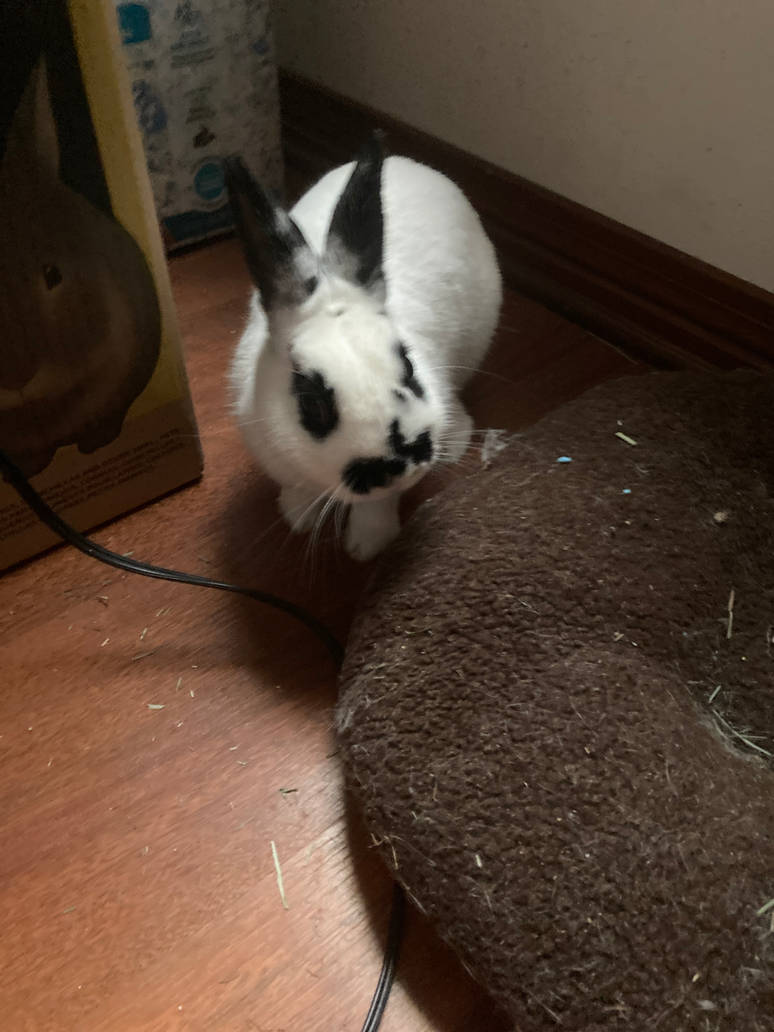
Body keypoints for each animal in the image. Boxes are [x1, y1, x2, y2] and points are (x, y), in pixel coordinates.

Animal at [225, 135, 502, 561]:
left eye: (409, 366)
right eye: (313, 404)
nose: (400, 462)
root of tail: (413, 164)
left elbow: (378, 504)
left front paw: (367, 545)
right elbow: (298, 489)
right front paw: (297, 516)